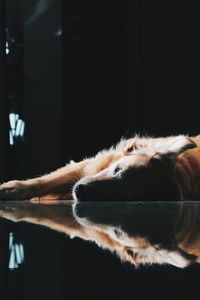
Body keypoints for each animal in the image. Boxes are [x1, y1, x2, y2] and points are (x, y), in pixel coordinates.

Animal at [0, 134, 200, 268]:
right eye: (117, 169)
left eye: (122, 196)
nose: (79, 191)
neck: (181, 173)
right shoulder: (87, 167)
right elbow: (45, 181)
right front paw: (12, 188)